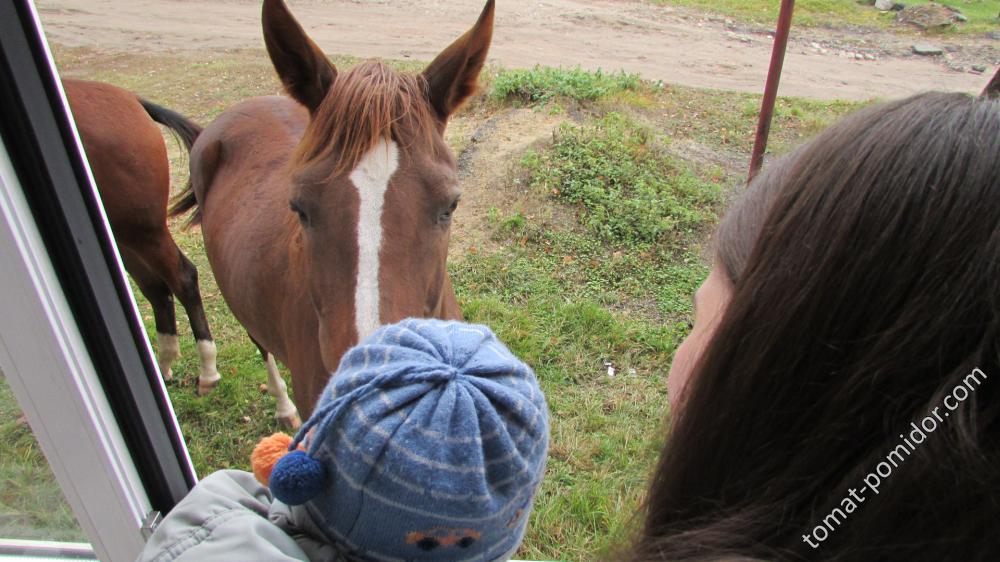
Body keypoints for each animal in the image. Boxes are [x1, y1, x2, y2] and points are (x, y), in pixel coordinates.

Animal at [63, 81, 220, 392]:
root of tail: (132, 100)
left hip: (140, 229)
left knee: (181, 277)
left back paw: (206, 369)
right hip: (122, 233)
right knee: (155, 287)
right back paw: (165, 364)